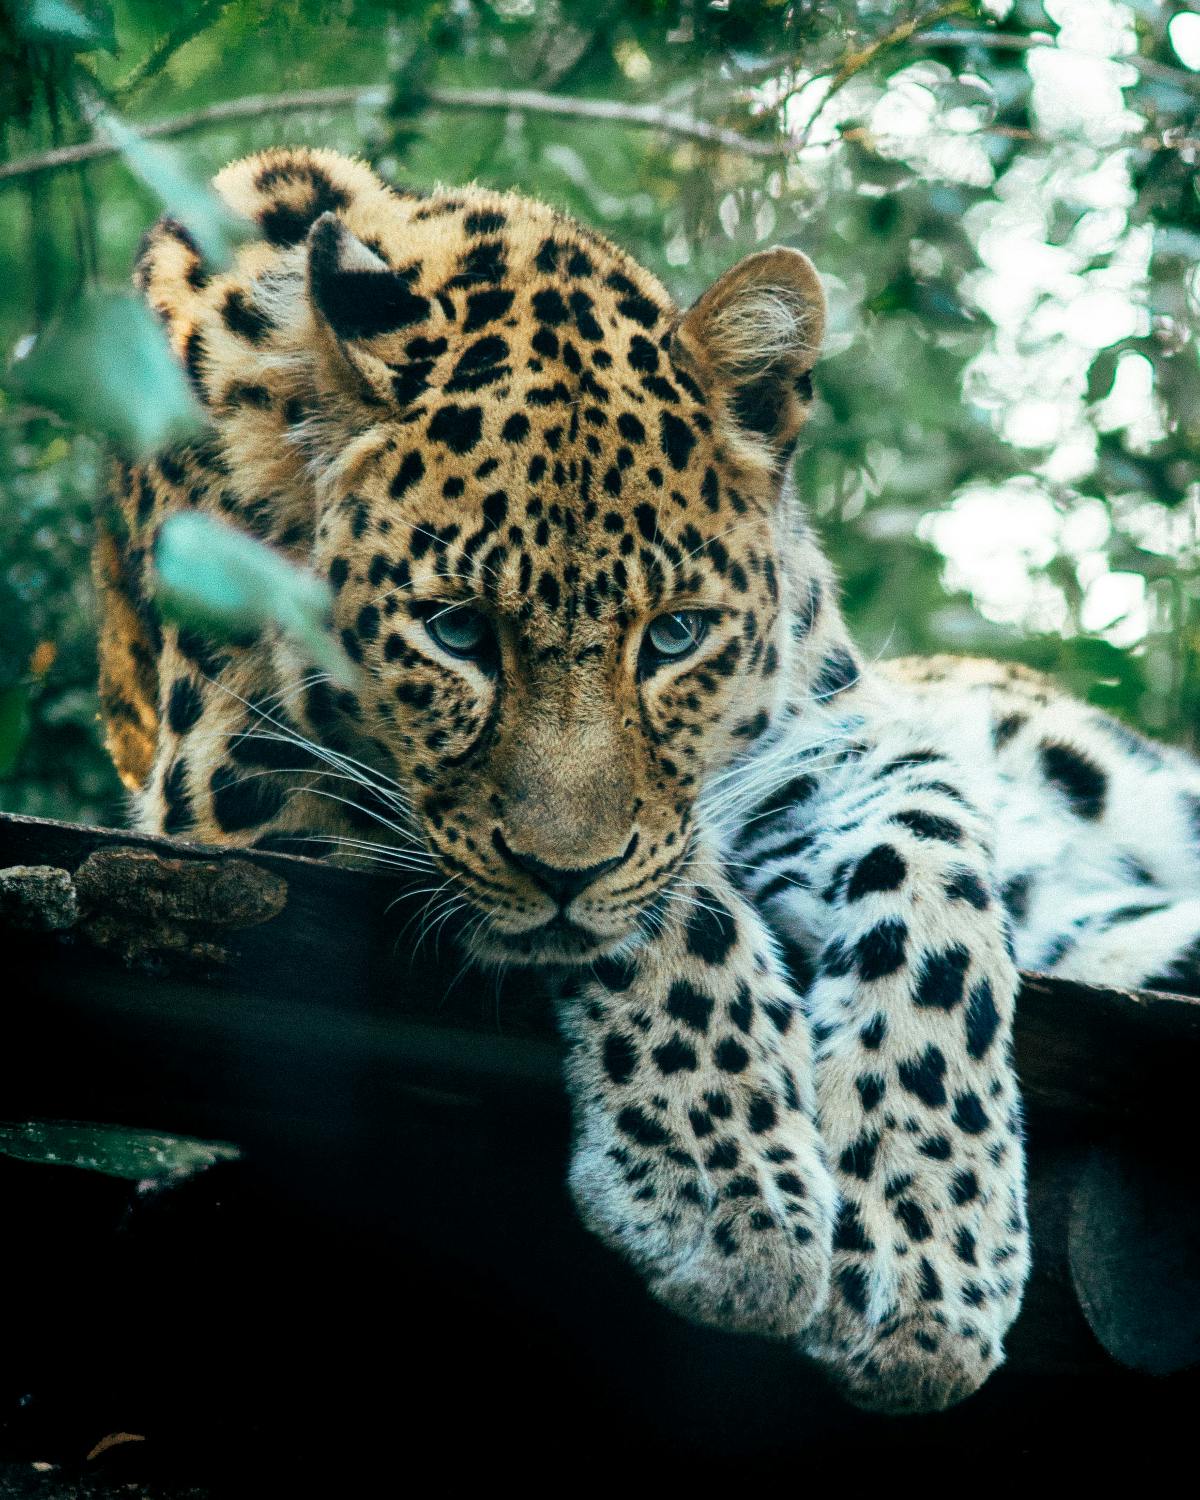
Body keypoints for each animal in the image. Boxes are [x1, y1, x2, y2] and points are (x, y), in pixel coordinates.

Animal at [91, 143, 1200, 1416]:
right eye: (457, 632)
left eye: (674, 636)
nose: (562, 872)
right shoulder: (237, 771)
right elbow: (675, 905)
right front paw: (736, 1203)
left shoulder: (823, 741)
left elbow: (931, 885)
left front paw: (926, 1243)